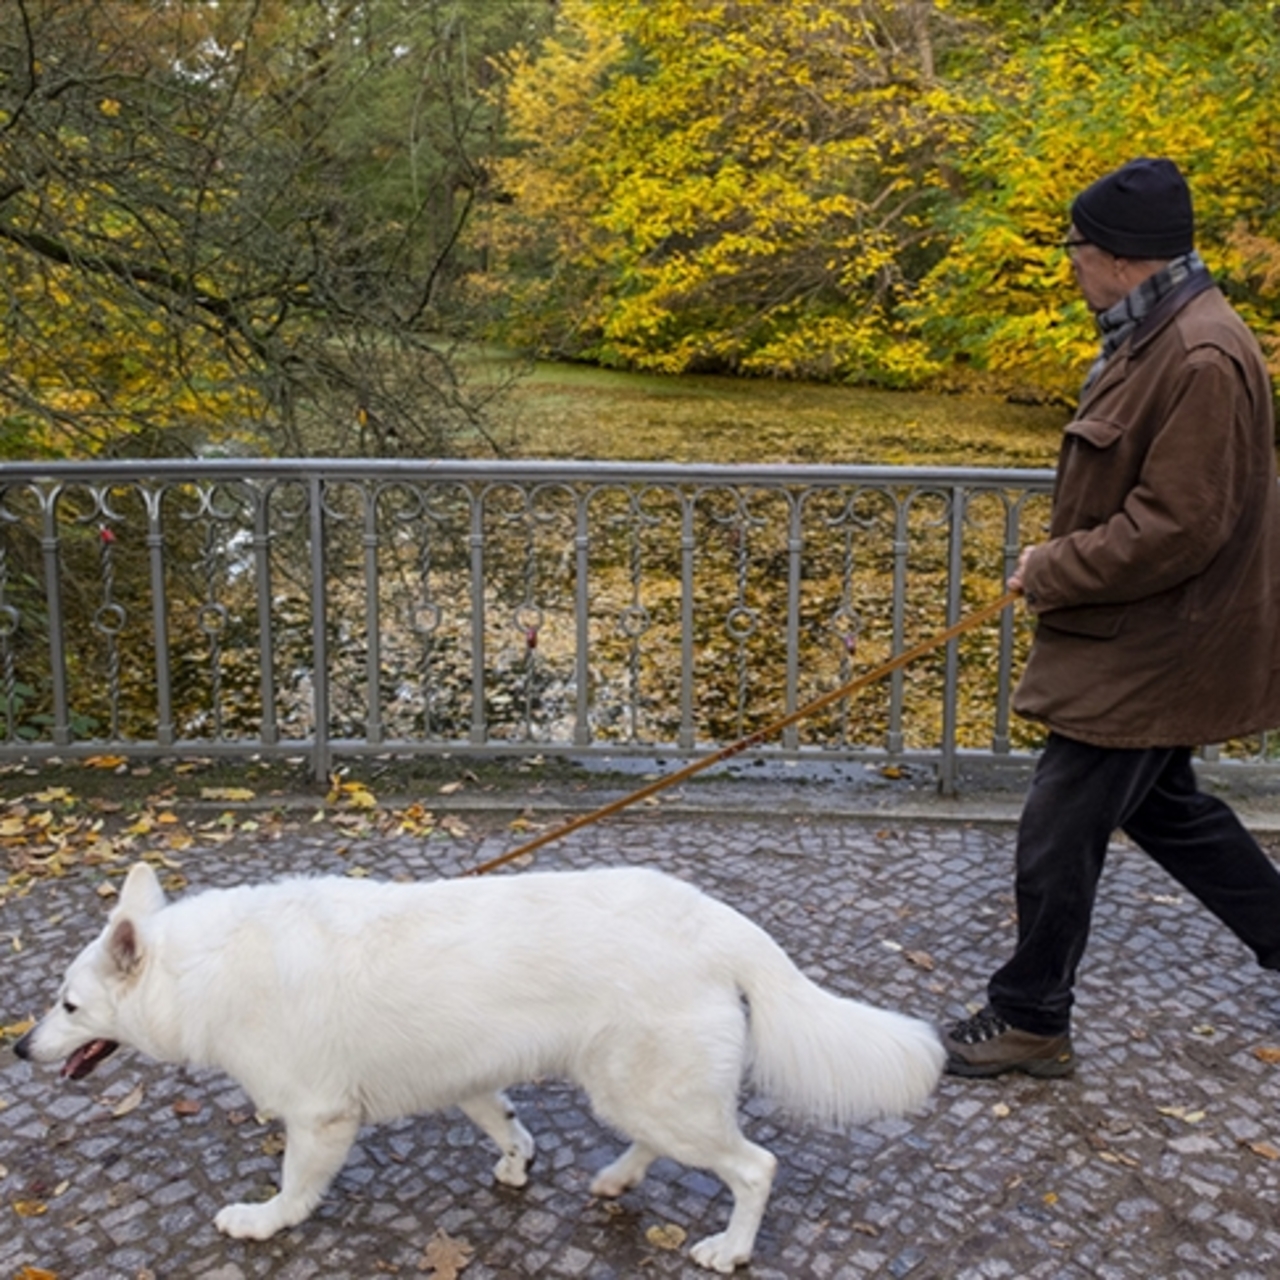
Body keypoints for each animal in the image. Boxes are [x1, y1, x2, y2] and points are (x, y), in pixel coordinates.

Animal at [15, 860, 947, 1269]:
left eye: (67, 1005)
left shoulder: (320, 1118)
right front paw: (517, 1160)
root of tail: (720, 921)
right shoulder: (465, 1077)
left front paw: (264, 1222)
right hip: (634, 1089)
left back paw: (730, 1247)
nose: (20, 1048)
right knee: (662, 1142)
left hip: (652, 1089)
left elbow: (291, 1188)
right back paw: (616, 1179)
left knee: (755, 1166)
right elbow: (503, 1122)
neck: (201, 969)